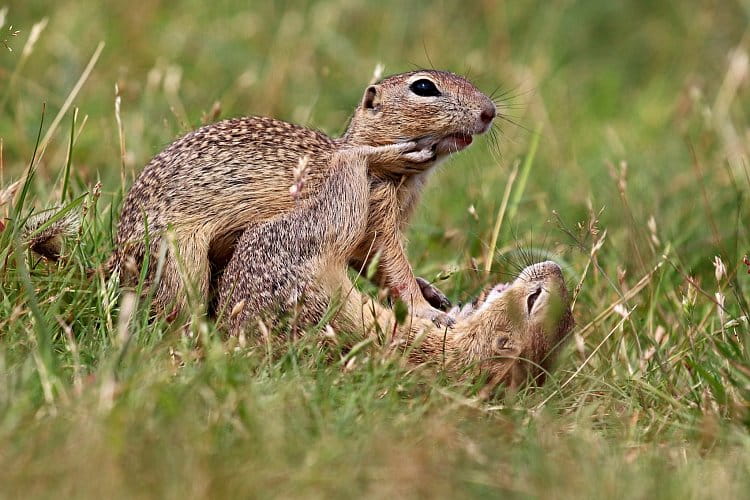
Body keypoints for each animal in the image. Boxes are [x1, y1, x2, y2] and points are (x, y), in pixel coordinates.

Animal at [111, 71, 496, 328]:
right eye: (423, 87)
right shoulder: (377, 208)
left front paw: (431, 292)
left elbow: (375, 264)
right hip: (180, 263)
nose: (490, 111)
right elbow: (394, 264)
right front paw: (427, 310)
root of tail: (114, 261)